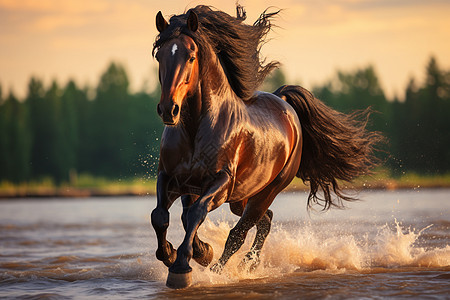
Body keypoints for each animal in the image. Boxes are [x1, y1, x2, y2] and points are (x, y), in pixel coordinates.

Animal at [150, 5, 380, 290]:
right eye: (159, 55)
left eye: (191, 56)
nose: (168, 109)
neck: (197, 128)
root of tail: (284, 102)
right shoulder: (171, 178)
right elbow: (161, 215)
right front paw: (177, 254)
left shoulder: (221, 183)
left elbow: (195, 214)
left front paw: (182, 267)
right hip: (243, 196)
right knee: (264, 220)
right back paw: (243, 263)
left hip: (266, 191)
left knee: (240, 231)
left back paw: (228, 269)